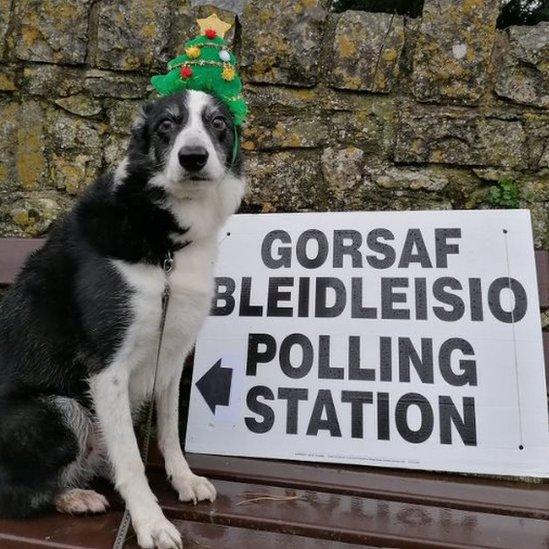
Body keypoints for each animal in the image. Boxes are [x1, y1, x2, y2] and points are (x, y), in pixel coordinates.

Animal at [0, 88, 244, 544]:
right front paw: (151, 523)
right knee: (15, 493)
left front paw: (183, 480)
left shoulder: (172, 352)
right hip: (62, 409)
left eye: (218, 122)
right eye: (167, 124)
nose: (193, 157)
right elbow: (131, 460)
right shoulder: (107, 367)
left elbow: (168, 431)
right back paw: (73, 497)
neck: (163, 239)